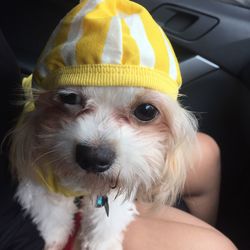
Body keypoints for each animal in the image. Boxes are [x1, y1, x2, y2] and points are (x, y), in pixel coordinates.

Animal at [9, 0, 197, 250]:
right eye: (69, 97)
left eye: (146, 111)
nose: (94, 157)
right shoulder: (39, 179)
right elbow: (51, 216)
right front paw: (54, 240)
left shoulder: (124, 178)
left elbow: (107, 218)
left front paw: (102, 242)